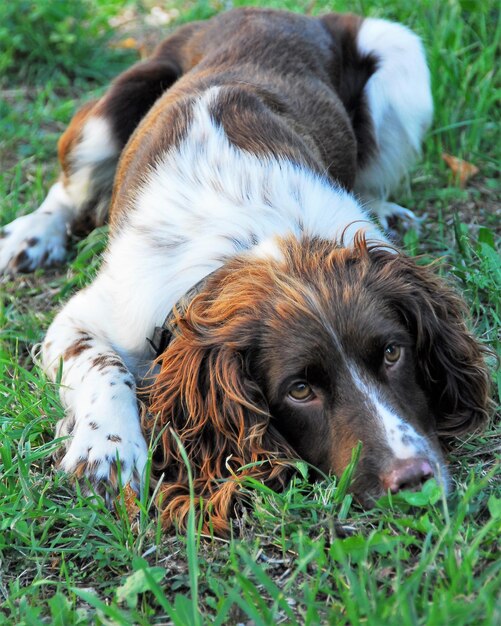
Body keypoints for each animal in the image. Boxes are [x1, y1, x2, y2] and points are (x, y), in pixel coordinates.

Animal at [0, 7, 488, 532]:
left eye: (394, 353)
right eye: (299, 390)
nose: (414, 478)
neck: (257, 241)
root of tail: (277, 12)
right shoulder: (83, 318)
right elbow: (104, 367)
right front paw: (106, 452)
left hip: (400, 56)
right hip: (107, 116)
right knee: (68, 191)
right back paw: (30, 237)